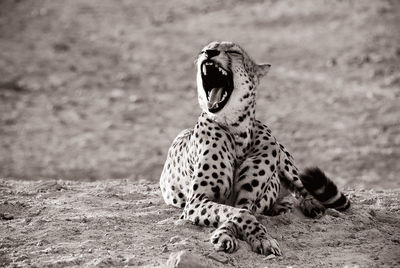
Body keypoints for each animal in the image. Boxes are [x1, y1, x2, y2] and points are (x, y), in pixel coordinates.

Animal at [159, 41, 350, 255]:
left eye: (233, 51)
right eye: (203, 49)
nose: (209, 52)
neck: (236, 132)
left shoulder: (245, 200)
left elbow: (240, 212)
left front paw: (255, 237)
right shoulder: (197, 201)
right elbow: (238, 213)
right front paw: (229, 236)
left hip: (283, 159)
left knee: (302, 188)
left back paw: (309, 204)